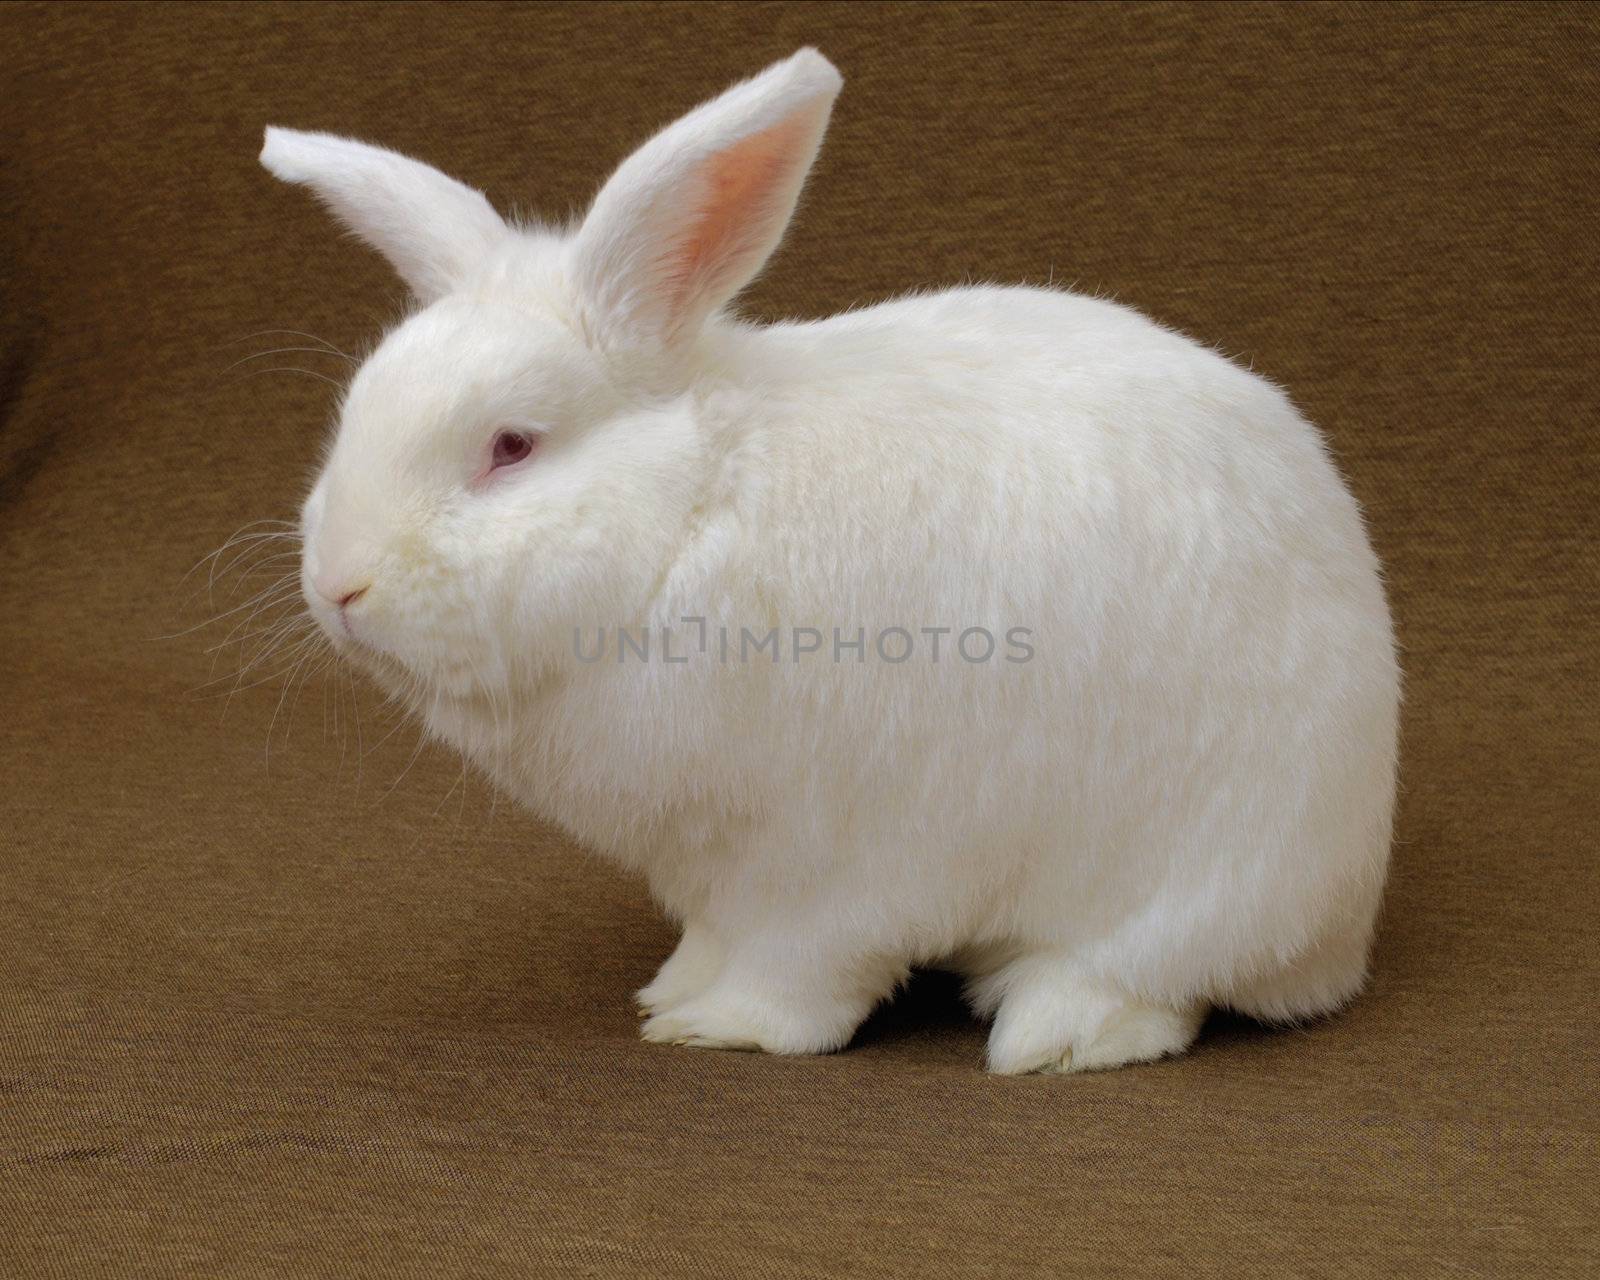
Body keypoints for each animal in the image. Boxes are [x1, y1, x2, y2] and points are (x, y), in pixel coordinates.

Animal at [262, 47, 1401, 1068]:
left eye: (511, 446)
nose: (338, 586)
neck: (690, 515)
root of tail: (1346, 927)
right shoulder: (713, 872)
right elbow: (711, 940)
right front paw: (670, 991)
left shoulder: (832, 868)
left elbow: (803, 975)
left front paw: (720, 1028)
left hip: (1206, 875)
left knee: (1154, 982)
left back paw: (1054, 1033)